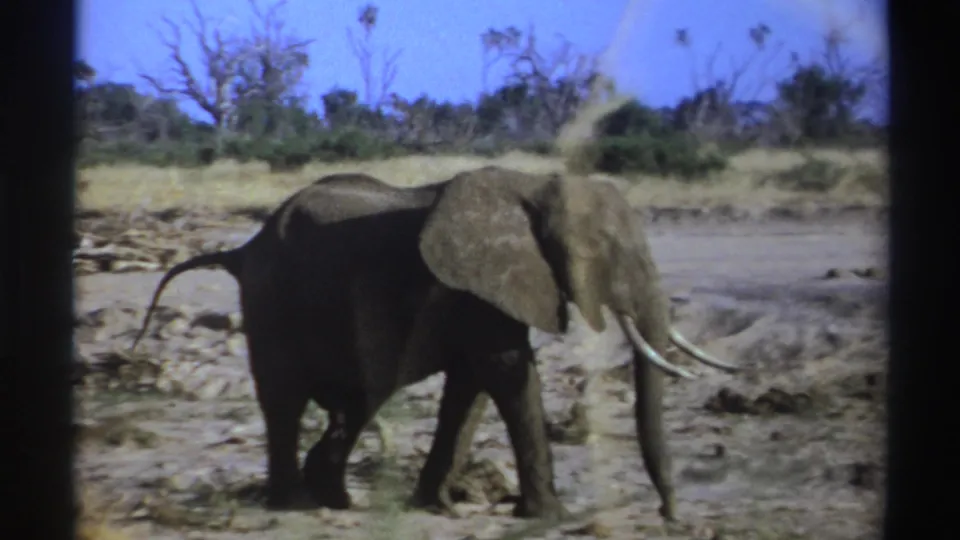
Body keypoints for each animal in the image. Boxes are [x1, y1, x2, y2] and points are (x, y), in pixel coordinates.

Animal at [132, 166, 738, 522]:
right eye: (607, 253)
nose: (670, 518)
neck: (534, 187)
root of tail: (240, 249)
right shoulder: (474, 286)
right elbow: (507, 369)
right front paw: (552, 519)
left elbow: (472, 384)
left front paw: (436, 505)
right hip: (273, 302)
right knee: (287, 400)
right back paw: (297, 506)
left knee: (353, 402)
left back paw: (335, 499)